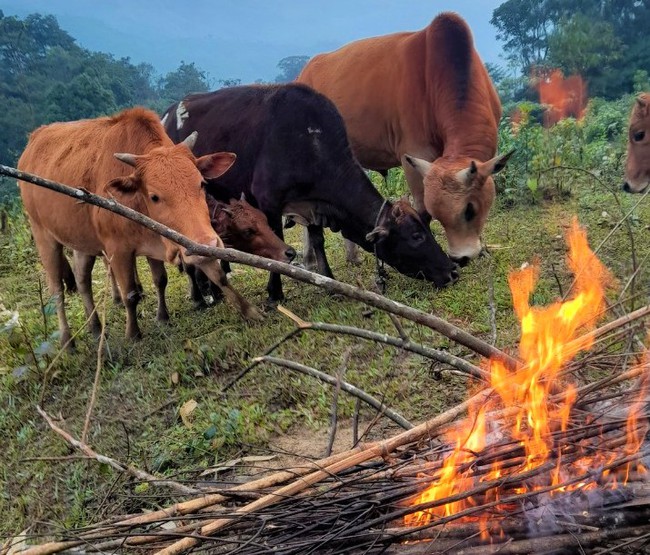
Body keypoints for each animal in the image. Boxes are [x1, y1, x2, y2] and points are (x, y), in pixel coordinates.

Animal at [19, 107, 260, 350]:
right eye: (154, 196)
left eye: (201, 183)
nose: (209, 242)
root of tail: (33, 141)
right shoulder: (118, 250)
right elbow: (130, 294)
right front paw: (133, 334)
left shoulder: (179, 240)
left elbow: (176, 278)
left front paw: (248, 310)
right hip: (43, 236)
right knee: (56, 291)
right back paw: (67, 342)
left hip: (81, 242)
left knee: (82, 279)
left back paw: (96, 328)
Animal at [161, 84, 456, 302]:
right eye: (416, 236)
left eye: (427, 230)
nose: (453, 270)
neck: (310, 143)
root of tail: (166, 114)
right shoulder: (268, 204)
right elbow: (278, 247)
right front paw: (275, 294)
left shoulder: (313, 206)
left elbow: (318, 241)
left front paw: (330, 282)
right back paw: (199, 295)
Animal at [298, 12, 512, 264]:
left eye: (470, 210)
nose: (460, 257)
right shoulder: (413, 154)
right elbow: (422, 211)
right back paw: (309, 258)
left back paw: (351, 256)